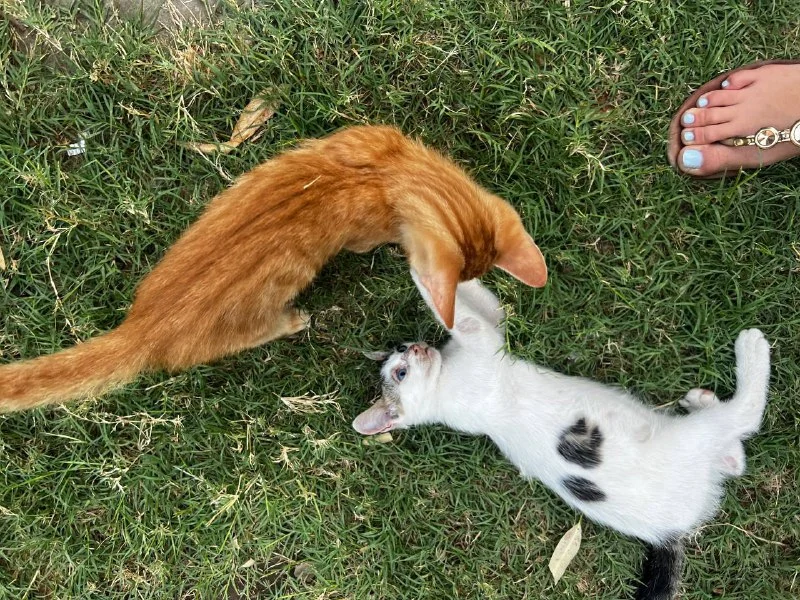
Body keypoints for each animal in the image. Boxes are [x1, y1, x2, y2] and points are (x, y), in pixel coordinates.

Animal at [353, 271, 771, 600]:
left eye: (402, 352)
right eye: (400, 372)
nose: (417, 348)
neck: (443, 382)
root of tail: (671, 529)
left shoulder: (491, 329)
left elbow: (481, 304)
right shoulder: (481, 346)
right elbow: (461, 317)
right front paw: (421, 265)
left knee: (734, 456)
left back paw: (703, 400)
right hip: (696, 438)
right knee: (744, 415)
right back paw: (752, 349)